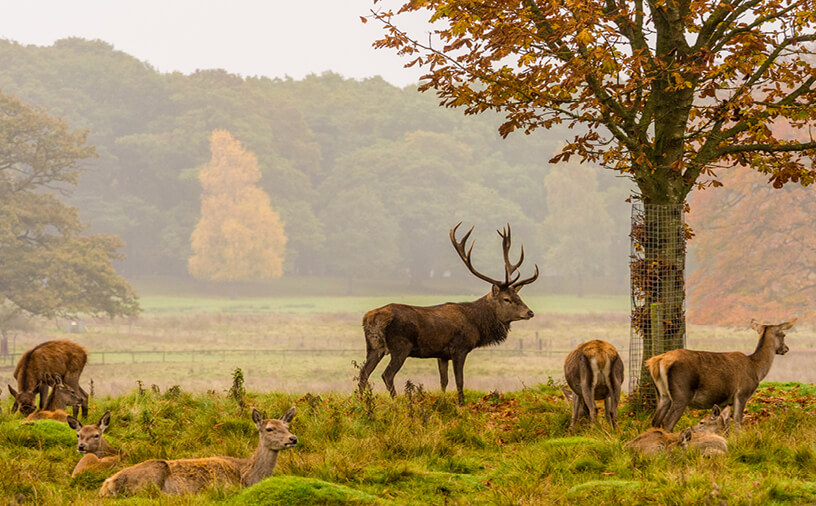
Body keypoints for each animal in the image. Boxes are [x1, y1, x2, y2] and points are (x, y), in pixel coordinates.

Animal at [98, 406, 296, 496]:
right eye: (269, 428)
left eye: (287, 426)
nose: (293, 438)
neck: (246, 476)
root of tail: (107, 483)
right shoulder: (224, 486)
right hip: (152, 475)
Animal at [358, 223, 540, 406]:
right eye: (506, 299)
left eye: (518, 296)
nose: (530, 312)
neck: (476, 323)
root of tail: (370, 319)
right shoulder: (459, 348)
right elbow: (459, 380)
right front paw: (461, 404)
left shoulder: (442, 354)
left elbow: (443, 381)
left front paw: (442, 400)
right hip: (400, 345)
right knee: (387, 375)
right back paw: (397, 401)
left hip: (374, 346)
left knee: (363, 373)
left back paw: (361, 401)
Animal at [648, 316, 792, 430]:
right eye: (783, 335)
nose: (786, 348)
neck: (756, 369)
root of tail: (657, 361)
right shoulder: (742, 394)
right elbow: (737, 423)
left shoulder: (724, 402)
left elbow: (725, 424)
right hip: (681, 393)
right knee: (667, 422)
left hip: (663, 394)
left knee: (655, 421)